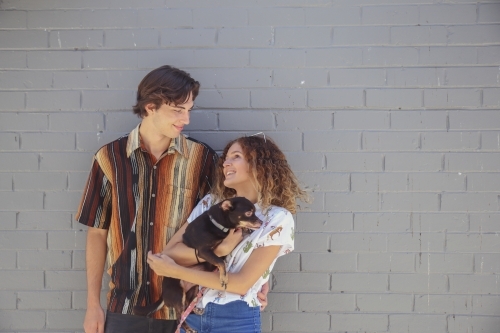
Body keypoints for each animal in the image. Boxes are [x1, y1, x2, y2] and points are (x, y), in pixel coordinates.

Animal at [135, 196, 264, 328]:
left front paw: (245, 229)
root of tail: (163, 293)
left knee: (187, 308)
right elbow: (220, 261)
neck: (216, 223)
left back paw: (196, 310)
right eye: (248, 213)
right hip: (178, 293)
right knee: (179, 318)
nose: (261, 222)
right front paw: (224, 278)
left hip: (194, 289)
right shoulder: (203, 251)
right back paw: (189, 329)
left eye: (254, 211)